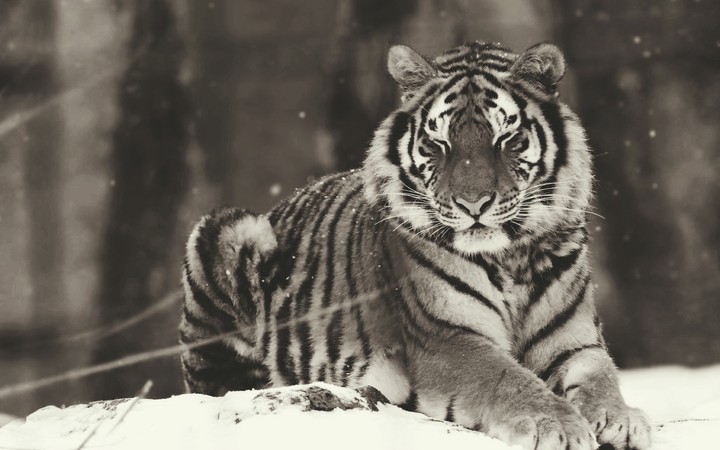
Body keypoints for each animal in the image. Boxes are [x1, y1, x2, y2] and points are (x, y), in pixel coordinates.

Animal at [179, 41, 651, 450]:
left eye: (507, 140)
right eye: (437, 143)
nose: (473, 204)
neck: (512, 256)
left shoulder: (576, 343)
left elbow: (602, 378)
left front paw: (621, 419)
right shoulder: (447, 338)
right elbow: (508, 378)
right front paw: (556, 424)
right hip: (226, 231)